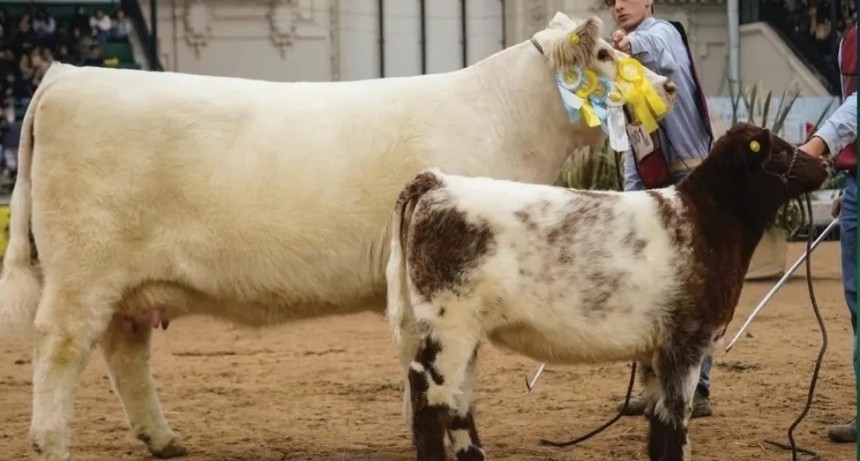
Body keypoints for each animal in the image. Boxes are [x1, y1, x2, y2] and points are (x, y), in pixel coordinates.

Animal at [0, 11, 675, 461]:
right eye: (607, 56)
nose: (669, 86)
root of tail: (65, 75)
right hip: (82, 269)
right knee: (61, 347)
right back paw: (51, 442)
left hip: (127, 282)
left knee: (124, 349)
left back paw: (164, 440)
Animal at [384, 122, 829, 461]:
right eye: (779, 150)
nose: (824, 162)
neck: (707, 223)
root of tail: (439, 182)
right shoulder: (686, 339)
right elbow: (675, 420)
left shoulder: (656, 349)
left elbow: (657, 420)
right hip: (448, 323)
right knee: (428, 398)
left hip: (464, 333)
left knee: (457, 402)